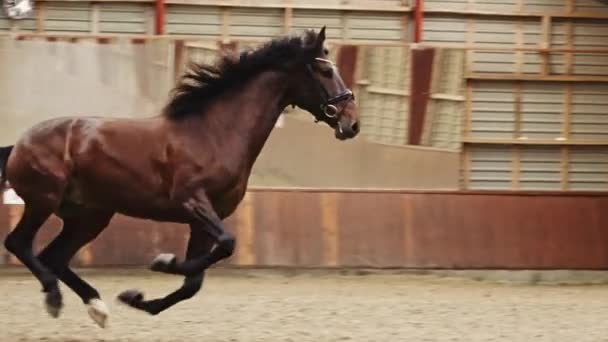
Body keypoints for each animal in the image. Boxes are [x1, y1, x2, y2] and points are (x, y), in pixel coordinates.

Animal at [0, 28, 358, 328]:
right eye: (325, 71)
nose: (352, 123)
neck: (214, 133)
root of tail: (19, 143)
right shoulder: (192, 201)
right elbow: (225, 244)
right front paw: (162, 262)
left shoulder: (205, 218)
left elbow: (194, 281)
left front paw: (137, 298)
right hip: (44, 200)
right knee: (19, 243)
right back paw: (54, 297)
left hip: (90, 216)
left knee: (53, 256)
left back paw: (97, 308)